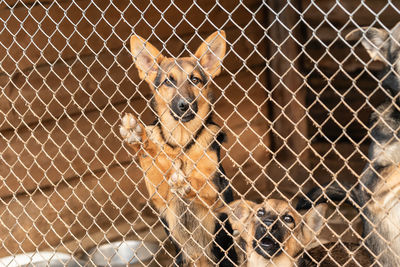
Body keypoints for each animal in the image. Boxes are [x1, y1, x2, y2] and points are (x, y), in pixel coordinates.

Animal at [120, 30, 236, 266]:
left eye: (195, 80)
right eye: (168, 82)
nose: (185, 105)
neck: (182, 144)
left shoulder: (215, 195)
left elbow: (200, 183)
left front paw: (185, 182)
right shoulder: (159, 194)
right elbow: (153, 154)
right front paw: (138, 135)